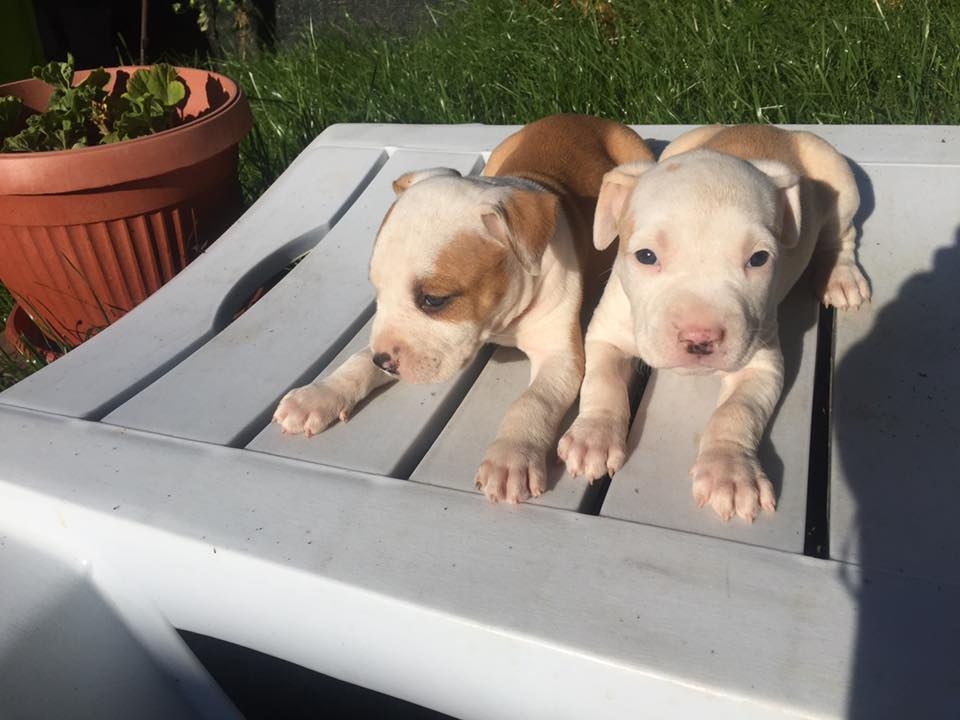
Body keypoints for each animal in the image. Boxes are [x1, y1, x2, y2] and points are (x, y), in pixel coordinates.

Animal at [273, 114, 654, 503]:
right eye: (377, 291)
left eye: (434, 300)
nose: (386, 363)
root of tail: (585, 118)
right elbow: (358, 360)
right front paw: (317, 396)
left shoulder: (561, 356)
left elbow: (531, 402)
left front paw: (510, 458)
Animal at [558, 124, 870, 521]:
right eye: (646, 256)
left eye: (759, 258)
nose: (700, 337)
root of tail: (771, 127)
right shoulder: (607, 335)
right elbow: (602, 382)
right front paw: (593, 437)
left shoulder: (760, 364)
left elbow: (735, 412)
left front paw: (730, 473)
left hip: (838, 179)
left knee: (841, 234)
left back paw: (841, 277)